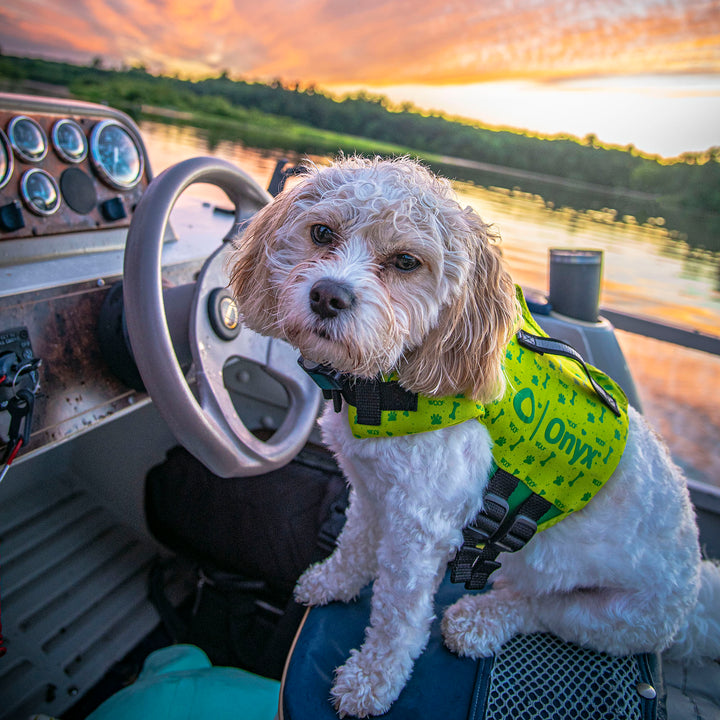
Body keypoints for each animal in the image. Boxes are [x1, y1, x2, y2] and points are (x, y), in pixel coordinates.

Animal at [232, 156, 720, 716]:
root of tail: (695, 592)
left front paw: (372, 680)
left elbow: (398, 616)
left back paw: (477, 623)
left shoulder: (419, 530)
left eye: (406, 262)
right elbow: (355, 543)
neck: (384, 389)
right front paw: (334, 582)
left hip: (608, 617)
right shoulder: (373, 492)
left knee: (534, 609)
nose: (327, 296)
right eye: (321, 232)